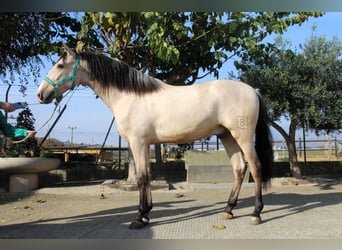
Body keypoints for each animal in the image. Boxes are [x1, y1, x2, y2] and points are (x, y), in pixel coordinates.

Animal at [36, 44, 274, 229]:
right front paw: (146, 214)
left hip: (243, 137)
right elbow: (147, 176)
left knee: (255, 168)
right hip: (227, 137)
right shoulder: (143, 144)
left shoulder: (138, 142)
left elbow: (142, 177)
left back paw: (256, 213)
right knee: (239, 169)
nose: (40, 94)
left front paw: (139, 217)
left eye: (59, 65)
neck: (131, 96)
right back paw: (228, 209)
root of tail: (253, 90)